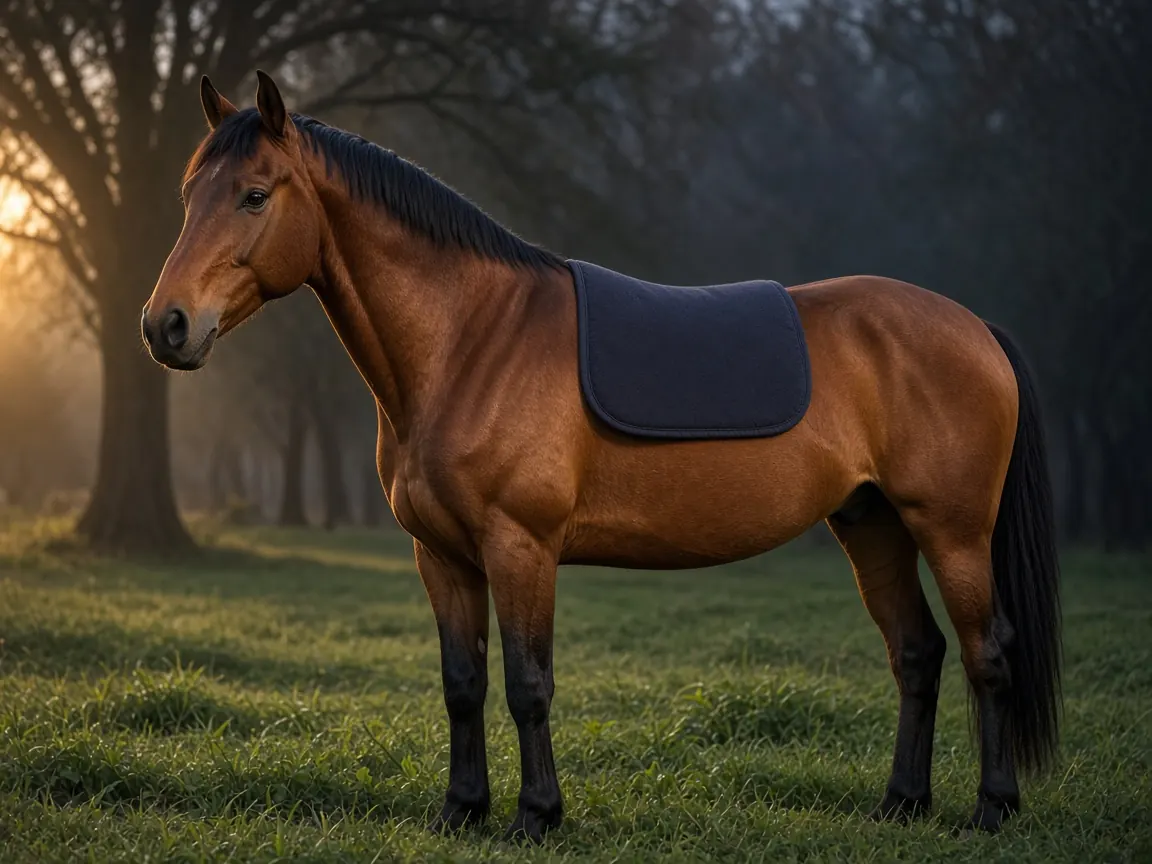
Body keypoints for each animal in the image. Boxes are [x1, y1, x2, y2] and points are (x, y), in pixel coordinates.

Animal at [141, 71, 1061, 843]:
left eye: (255, 195)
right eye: (187, 196)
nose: (166, 326)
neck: (469, 343)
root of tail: (974, 327)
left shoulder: (520, 546)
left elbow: (528, 684)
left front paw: (535, 816)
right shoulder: (441, 556)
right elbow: (463, 683)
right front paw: (460, 811)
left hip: (951, 531)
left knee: (988, 653)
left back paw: (991, 808)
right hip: (871, 524)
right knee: (918, 654)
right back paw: (901, 803)